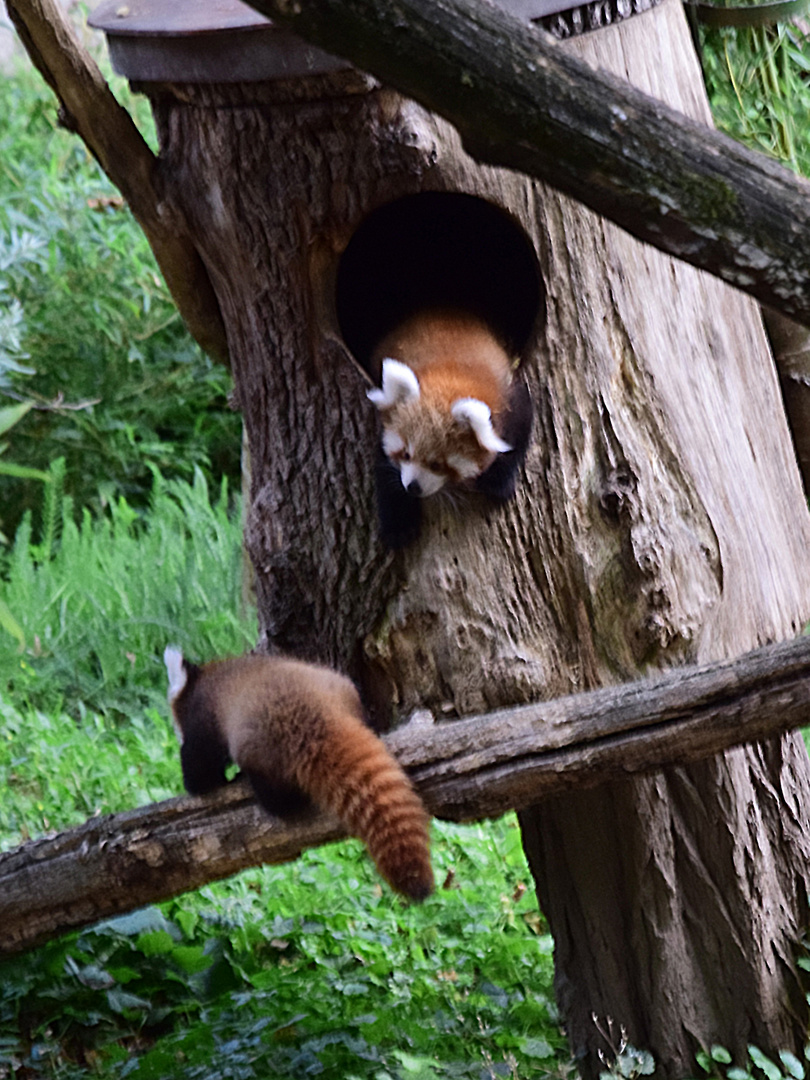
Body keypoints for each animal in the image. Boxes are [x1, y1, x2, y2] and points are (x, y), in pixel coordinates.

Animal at [160, 643, 434, 898]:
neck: (200, 680)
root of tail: (320, 712)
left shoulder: (203, 721)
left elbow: (201, 767)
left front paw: (199, 784)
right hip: (342, 691)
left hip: (262, 745)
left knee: (275, 797)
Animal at [367, 311, 533, 548]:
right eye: (406, 454)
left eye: (437, 464)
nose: (413, 487)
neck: (451, 374)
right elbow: (384, 466)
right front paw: (398, 525)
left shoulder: (511, 396)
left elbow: (517, 434)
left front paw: (498, 482)